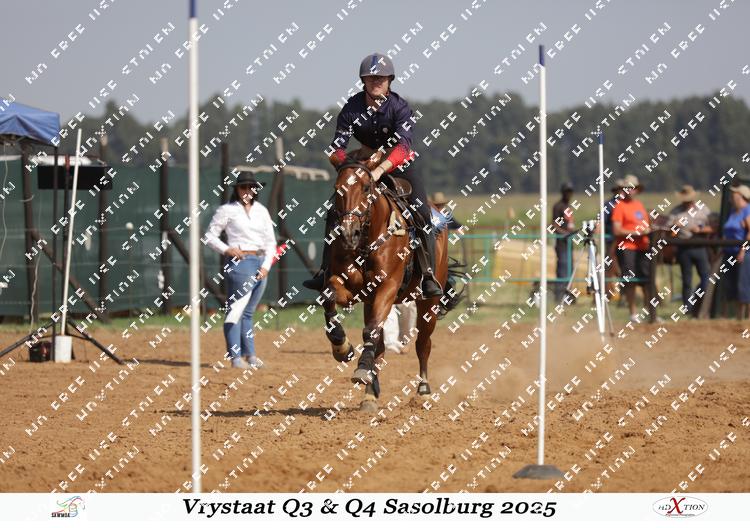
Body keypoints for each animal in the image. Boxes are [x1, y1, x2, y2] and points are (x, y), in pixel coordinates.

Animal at [320, 148, 452, 412]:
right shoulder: (350, 287)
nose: (349, 233)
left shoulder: (388, 287)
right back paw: (370, 393)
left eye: (366, 187)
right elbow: (330, 297)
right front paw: (341, 347)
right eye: (337, 188)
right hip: (372, 302)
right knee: (379, 343)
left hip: (429, 303)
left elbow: (371, 330)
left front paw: (361, 369)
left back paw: (423, 390)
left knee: (423, 343)